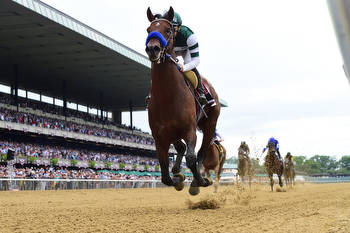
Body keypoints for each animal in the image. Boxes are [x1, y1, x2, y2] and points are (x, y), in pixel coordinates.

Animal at [144, 6, 220, 195]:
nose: (153, 49)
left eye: (167, 30)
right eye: (148, 29)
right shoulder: (160, 135)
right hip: (173, 132)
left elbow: (192, 158)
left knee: (201, 151)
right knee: (181, 148)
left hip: (210, 125)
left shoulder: (190, 129)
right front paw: (178, 177)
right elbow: (164, 172)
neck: (167, 96)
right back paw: (178, 171)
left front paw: (199, 182)